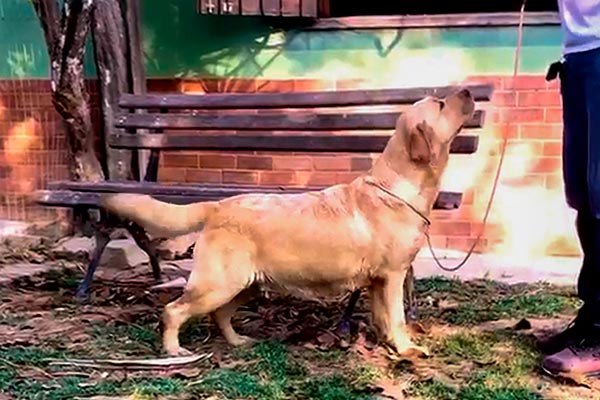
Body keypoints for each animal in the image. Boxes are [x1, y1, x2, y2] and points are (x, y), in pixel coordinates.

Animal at [100, 89, 475, 357]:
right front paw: (407, 349)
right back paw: (173, 349)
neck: (398, 184)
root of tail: (218, 205)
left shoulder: (377, 282)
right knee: (173, 310)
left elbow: (383, 317)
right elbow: (396, 317)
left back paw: (237, 341)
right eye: (442, 103)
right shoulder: (393, 275)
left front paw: (388, 344)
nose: (469, 90)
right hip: (218, 284)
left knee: (219, 314)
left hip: (245, 284)